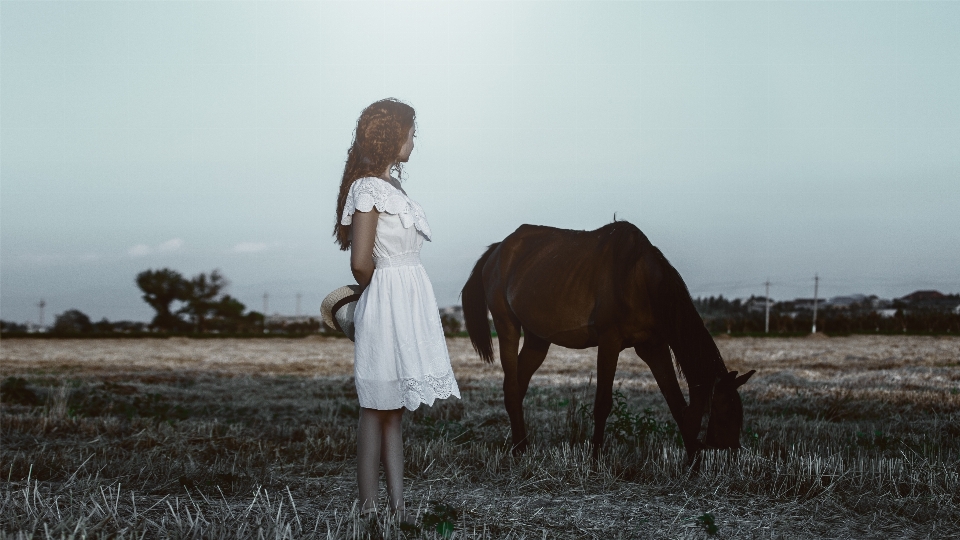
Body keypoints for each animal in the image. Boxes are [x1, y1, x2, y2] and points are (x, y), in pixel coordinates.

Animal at [462, 221, 752, 462]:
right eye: (726, 412)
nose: (731, 449)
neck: (639, 279)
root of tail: (497, 250)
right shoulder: (610, 342)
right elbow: (603, 404)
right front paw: (595, 459)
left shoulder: (653, 346)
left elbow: (675, 402)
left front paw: (692, 461)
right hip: (507, 326)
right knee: (512, 385)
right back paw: (519, 448)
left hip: (537, 339)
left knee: (518, 387)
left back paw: (520, 446)